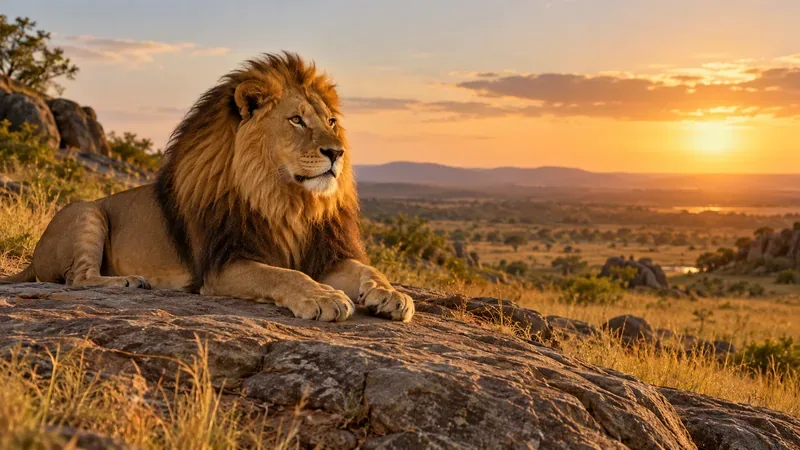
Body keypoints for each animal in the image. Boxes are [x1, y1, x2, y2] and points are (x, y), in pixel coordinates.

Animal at [2, 52, 414, 322]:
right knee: (77, 278)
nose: (336, 152)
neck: (286, 200)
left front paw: (393, 295)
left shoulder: (323, 254)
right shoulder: (221, 265)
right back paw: (128, 282)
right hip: (85, 210)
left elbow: (367, 269)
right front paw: (322, 296)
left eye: (330, 120)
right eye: (296, 120)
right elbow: (282, 274)